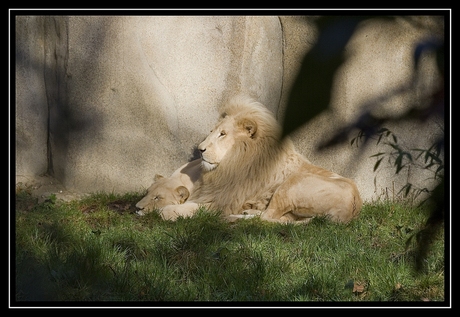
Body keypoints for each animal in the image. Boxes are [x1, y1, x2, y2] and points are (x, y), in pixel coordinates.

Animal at [160, 95, 362, 221]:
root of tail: (352, 208)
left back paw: (235, 218)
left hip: (292, 184)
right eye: (212, 131)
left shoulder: (224, 201)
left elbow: (193, 207)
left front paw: (166, 211)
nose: (200, 149)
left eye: (222, 134)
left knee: (267, 217)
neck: (233, 163)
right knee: (278, 218)